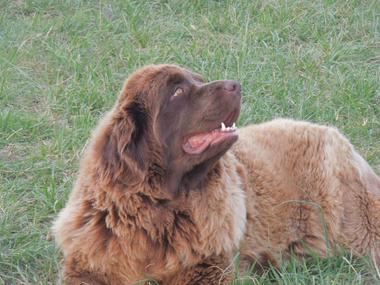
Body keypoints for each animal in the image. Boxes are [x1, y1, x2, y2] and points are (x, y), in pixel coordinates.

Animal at [54, 64, 380, 284]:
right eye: (178, 91)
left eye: (198, 80)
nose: (235, 84)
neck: (160, 210)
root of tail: (334, 134)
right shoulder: (90, 266)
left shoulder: (208, 268)